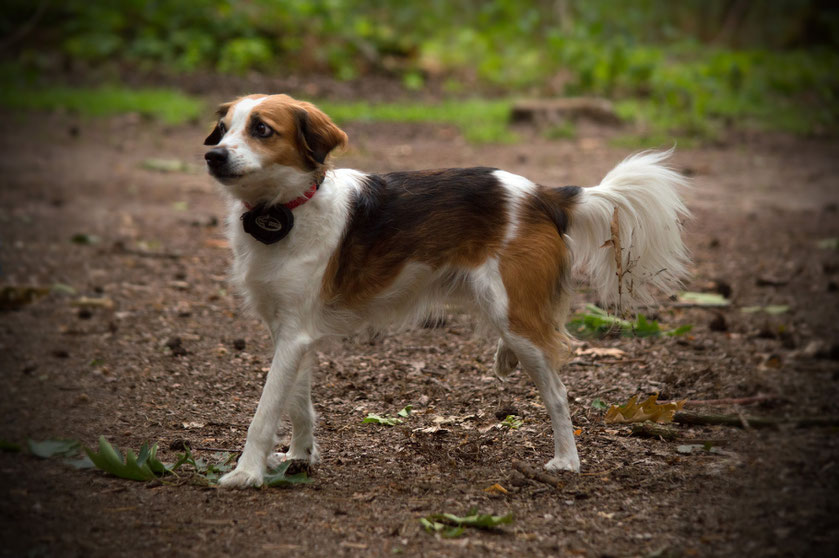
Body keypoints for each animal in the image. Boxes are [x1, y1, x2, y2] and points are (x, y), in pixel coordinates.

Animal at [203, 94, 688, 488]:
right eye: (223, 129)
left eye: (262, 129)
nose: (213, 156)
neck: (285, 208)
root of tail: (542, 194)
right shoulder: (291, 330)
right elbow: (297, 402)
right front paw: (300, 455)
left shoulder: (294, 335)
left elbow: (265, 410)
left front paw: (246, 473)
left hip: (514, 316)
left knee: (557, 392)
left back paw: (567, 460)